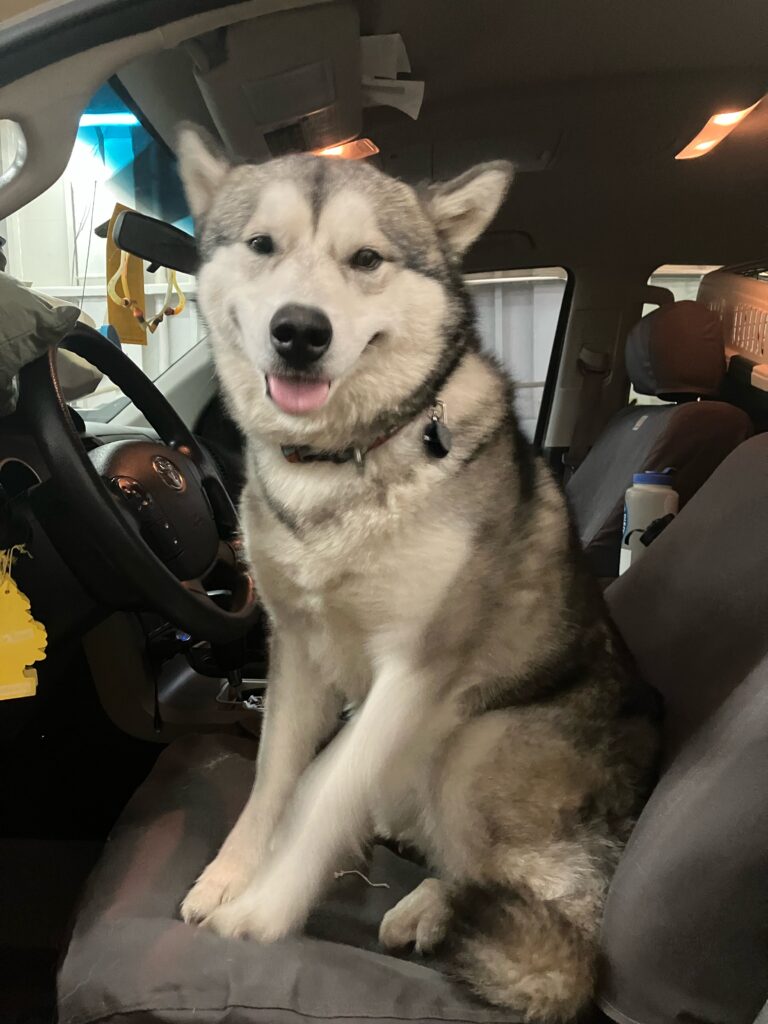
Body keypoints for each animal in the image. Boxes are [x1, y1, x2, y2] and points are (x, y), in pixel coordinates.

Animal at [177, 130, 659, 1024]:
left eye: (366, 258)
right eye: (262, 245)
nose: (300, 331)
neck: (343, 464)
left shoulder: (414, 668)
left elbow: (325, 789)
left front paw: (265, 908)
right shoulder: (296, 650)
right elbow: (272, 780)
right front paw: (230, 874)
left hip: (474, 745)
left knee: (548, 904)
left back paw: (437, 910)